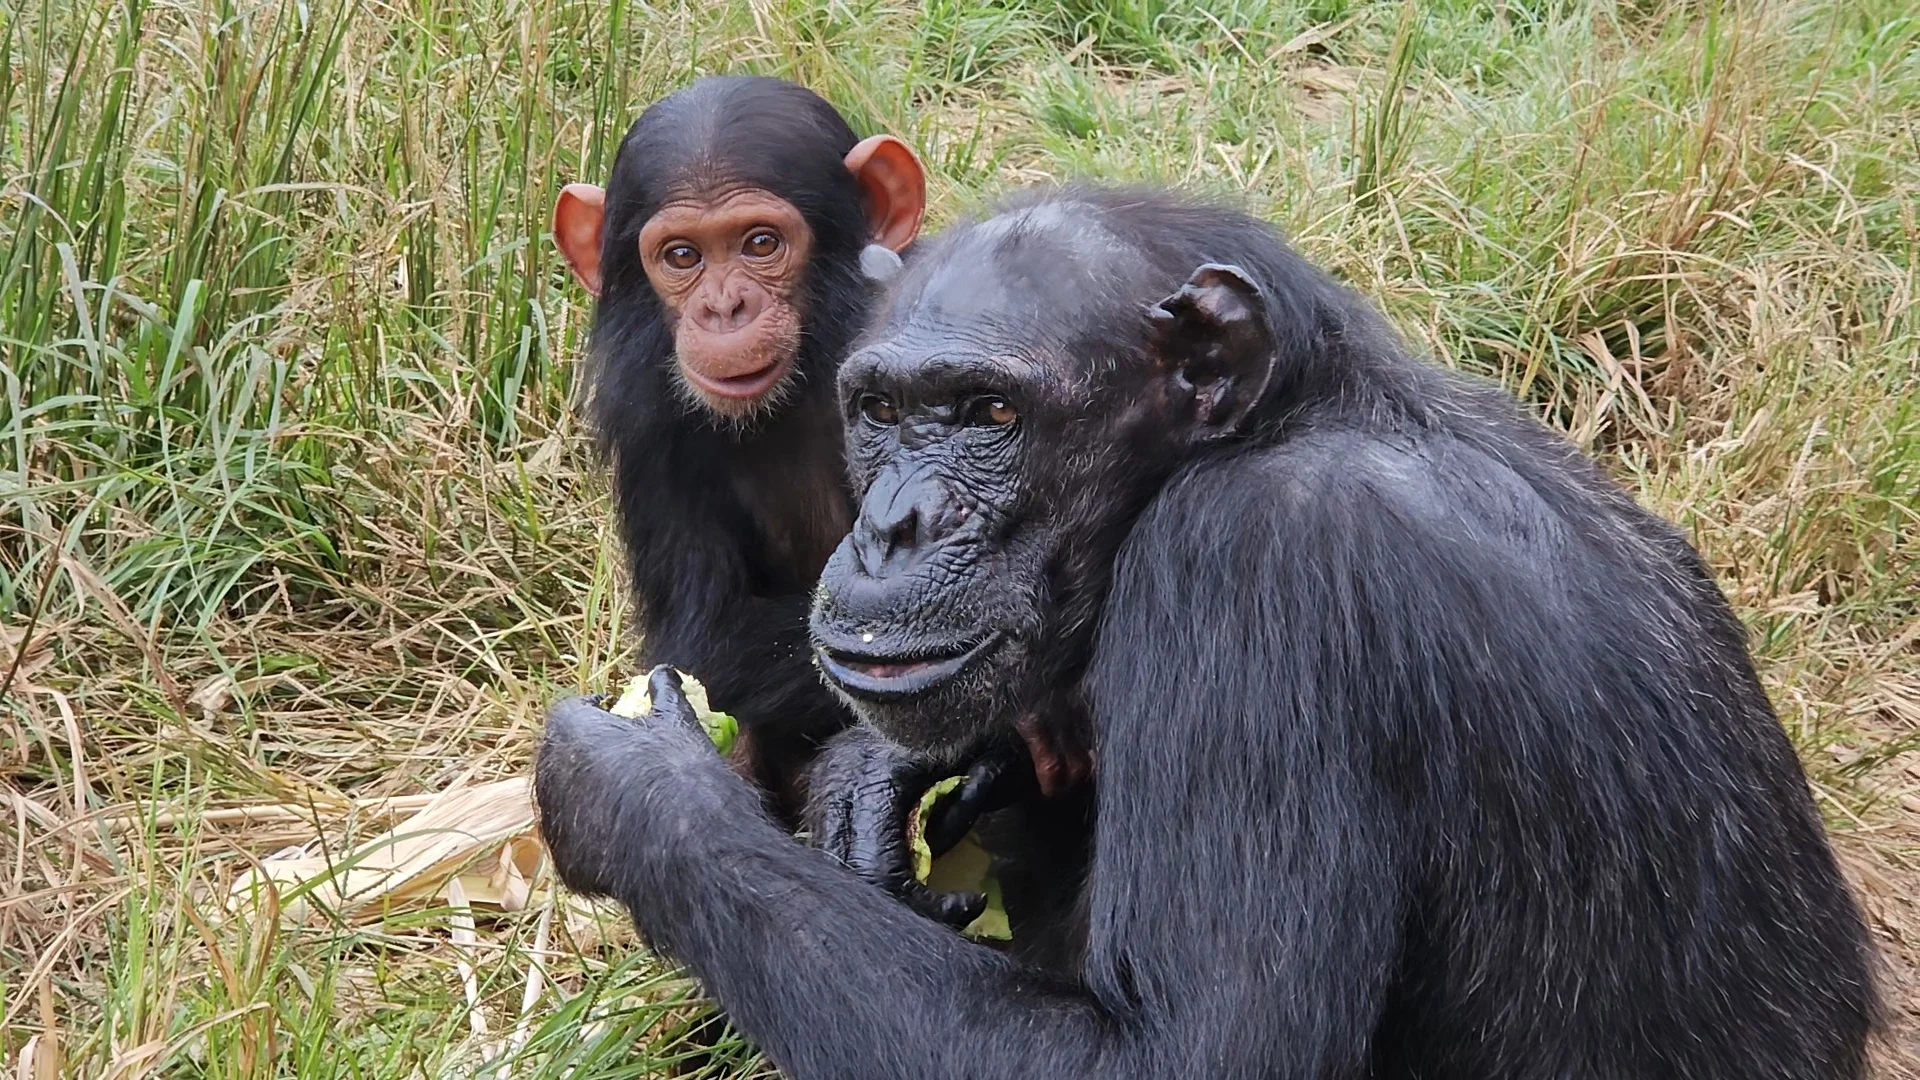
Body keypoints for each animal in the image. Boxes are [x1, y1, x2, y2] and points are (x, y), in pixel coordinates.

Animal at [537, 189, 1873, 1068]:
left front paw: (645, 794)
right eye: (879, 411)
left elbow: (1192, 1051)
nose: (890, 528)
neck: (1278, 426)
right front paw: (876, 781)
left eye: (988, 413)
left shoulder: (1253, 579)